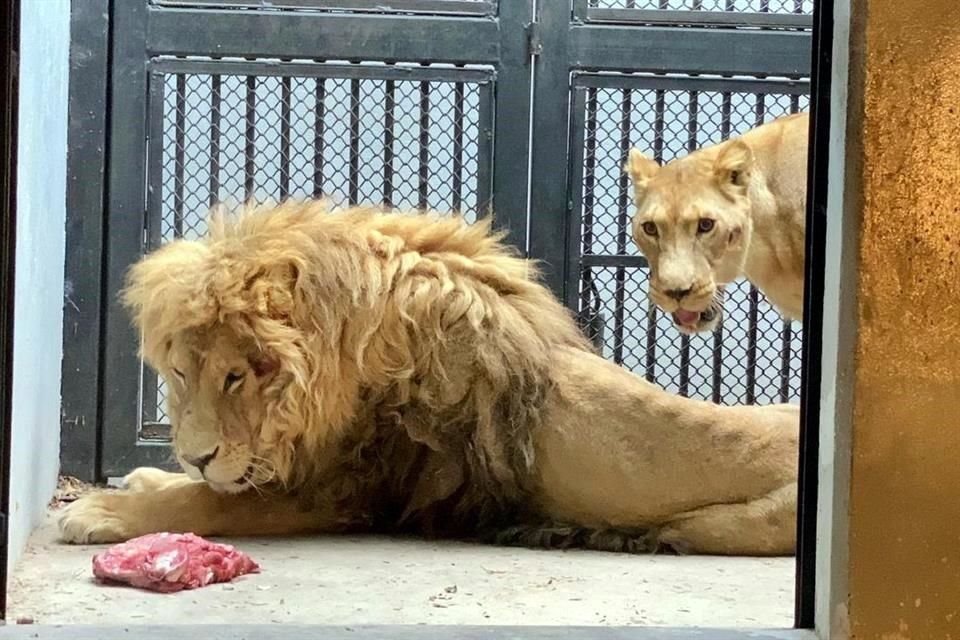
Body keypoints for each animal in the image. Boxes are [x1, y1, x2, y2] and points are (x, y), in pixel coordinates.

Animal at [58, 200, 799, 556]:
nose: (196, 453)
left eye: (239, 377)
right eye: (183, 373)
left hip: (725, 521)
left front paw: (106, 510)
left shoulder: (344, 489)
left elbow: (209, 502)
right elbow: (203, 488)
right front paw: (146, 477)